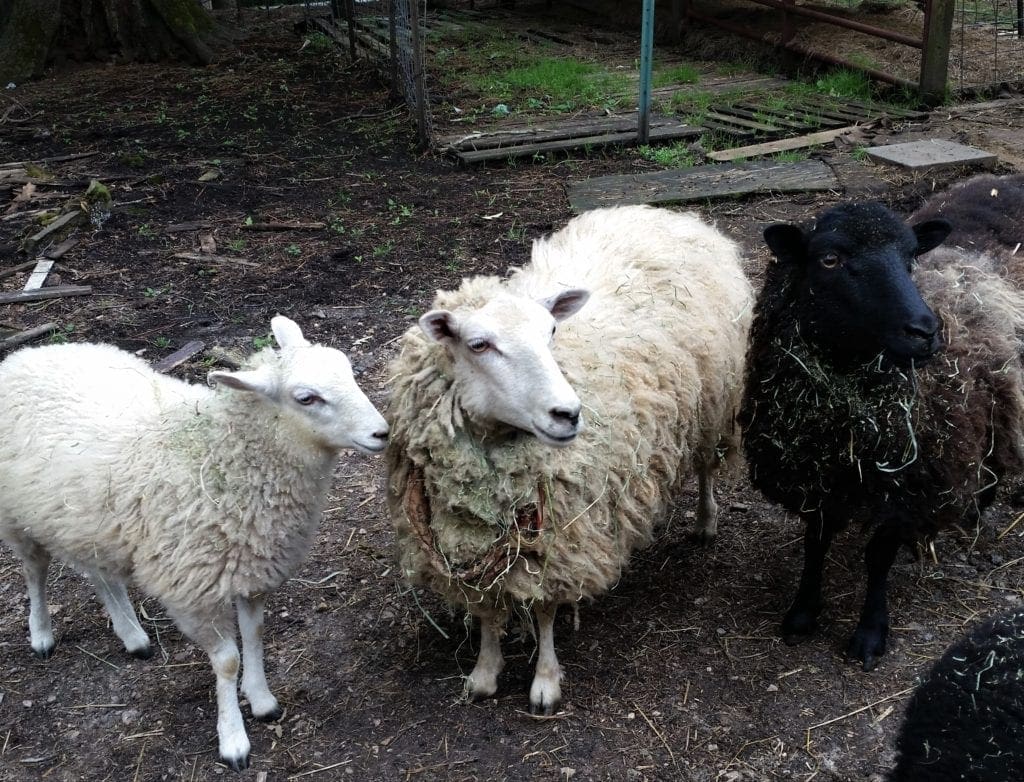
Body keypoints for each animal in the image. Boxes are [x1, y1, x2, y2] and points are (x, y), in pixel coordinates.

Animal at [0, 315, 387, 769]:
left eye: (349, 372)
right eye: (307, 398)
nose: (382, 433)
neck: (218, 454)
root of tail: (26, 355)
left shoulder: (252, 567)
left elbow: (254, 636)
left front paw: (261, 699)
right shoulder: (193, 588)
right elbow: (227, 661)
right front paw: (233, 738)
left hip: (89, 520)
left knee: (101, 573)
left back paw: (132, 635)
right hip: (19, 517)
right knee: (35, 571)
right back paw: (42, 634)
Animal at [385, 202, 753, 716]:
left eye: (552, 331)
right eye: (478, 344)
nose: (569, 413)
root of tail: (662, 212)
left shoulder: (562, 537)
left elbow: (543, 608)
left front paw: (545, 681)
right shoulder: (466, 540)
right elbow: (486, 608)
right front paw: (484, 671)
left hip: (714, 403)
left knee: (704, 467)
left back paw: (705, 520)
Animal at [741, 182, 1024, 667]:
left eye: (911, 258)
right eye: (829, 259)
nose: (926, 331)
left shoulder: (909, 483)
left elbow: (878, 555)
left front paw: (870, 633)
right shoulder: (817, 474)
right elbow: (815, 541)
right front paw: (802, 613)